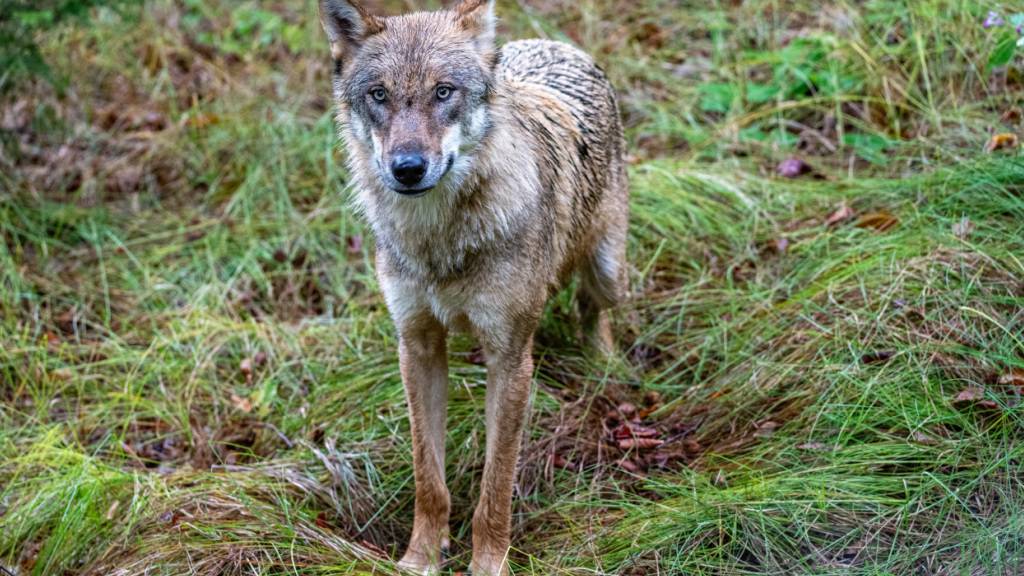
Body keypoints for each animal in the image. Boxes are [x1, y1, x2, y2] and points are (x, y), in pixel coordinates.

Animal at [318, 0, 629, 573]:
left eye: (444, 92)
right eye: (380, 95)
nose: (408, 168)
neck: (439, 241)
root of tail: (553, 45)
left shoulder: (510, 359)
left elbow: (496, 485)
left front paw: (488, 563)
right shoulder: (416, 346)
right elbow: (429, 478)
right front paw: (421, 557)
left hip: (608, 272)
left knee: (592, 309)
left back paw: (604, 366)